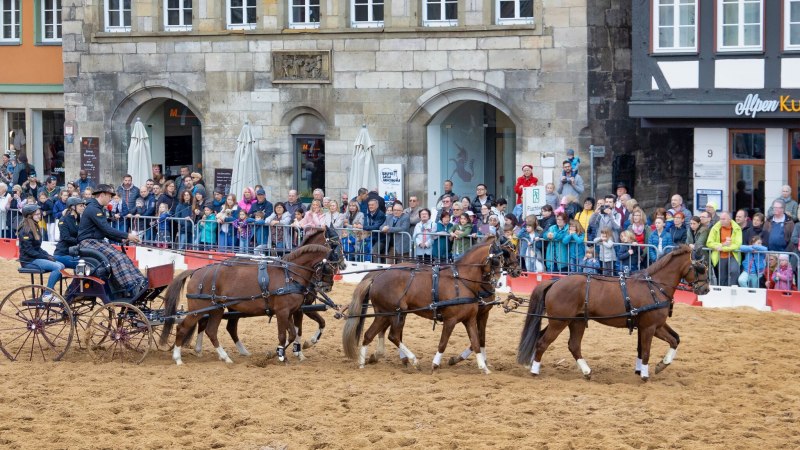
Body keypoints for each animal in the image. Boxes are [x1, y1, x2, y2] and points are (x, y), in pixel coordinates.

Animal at [159, 243, 340, 366]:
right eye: (330, 266)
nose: (327, 287)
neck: (289, 276)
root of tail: (196, 271)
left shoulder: (290, 312)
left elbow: (293, 334)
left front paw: (278, 353)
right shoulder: (282, 312)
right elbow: (284, 335)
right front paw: (280, 355)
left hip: (217, 309)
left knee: (211, 331)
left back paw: (225, 357)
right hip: (198, 308)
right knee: (182, 327)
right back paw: (178, 358)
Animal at [340, 239, 504, 372]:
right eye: (496, 260)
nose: (498, 283)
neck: (461, 281)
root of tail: (377, 276)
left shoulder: (470, 319)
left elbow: (476, 341)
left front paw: (483, 367)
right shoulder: (450, 320)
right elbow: (443, 343)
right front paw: (435, 364)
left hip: (385, 314)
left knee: (370, 334)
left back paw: (363, 362)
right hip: (394, 313)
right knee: (393, 336)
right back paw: (413, 360)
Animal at [516, 246, 708, 380]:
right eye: (700, 268)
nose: (705, 289)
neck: (654, 286)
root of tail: (555, 282)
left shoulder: (655, 325)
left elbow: (673, 340)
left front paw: (656, 366)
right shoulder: (650, 326)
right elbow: (646, 351)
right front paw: (646, 374)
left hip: (574, 321)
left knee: (571, 345)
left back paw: (585, 371)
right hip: (559, 322)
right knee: (543, 342)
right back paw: (535, 370)